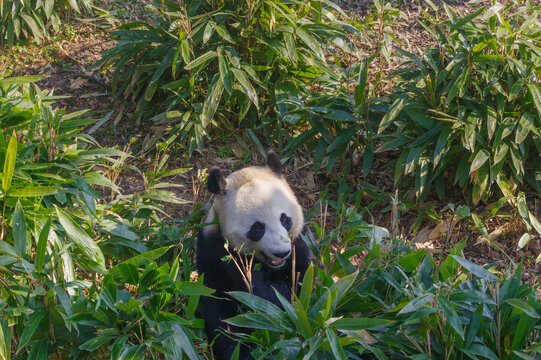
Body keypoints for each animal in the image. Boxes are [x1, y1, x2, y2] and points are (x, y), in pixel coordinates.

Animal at [196, 150, 310, 360]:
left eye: (284, 219)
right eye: (258, 228)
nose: (281, 252)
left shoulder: (300, 243)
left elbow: (298, 286)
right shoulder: (212, 250)